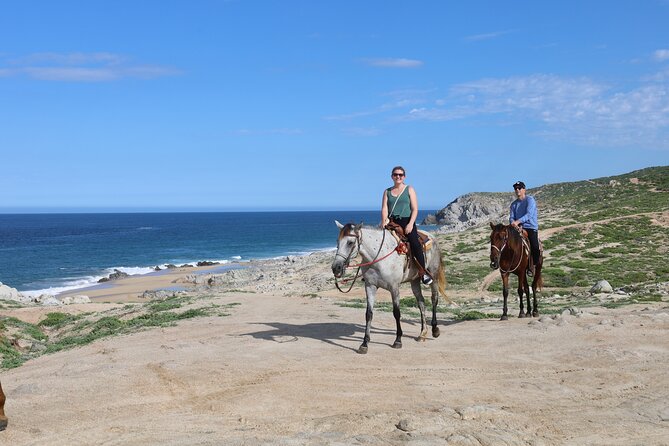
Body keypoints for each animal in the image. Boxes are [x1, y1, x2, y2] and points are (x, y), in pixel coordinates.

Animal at [332, 221, 446, 354]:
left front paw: (398, 340)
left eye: (350, 242)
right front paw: (364, 343)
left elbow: (396, 313)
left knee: (434, 299)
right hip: (414, 280)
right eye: (337, 241)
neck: (378, 257)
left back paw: (435, 329)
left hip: (434, 276)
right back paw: (423, 333)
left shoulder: (394, 287)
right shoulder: (370, 286)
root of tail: (432, 236)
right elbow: (369, 314)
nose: (336, 268)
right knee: (421, 303)